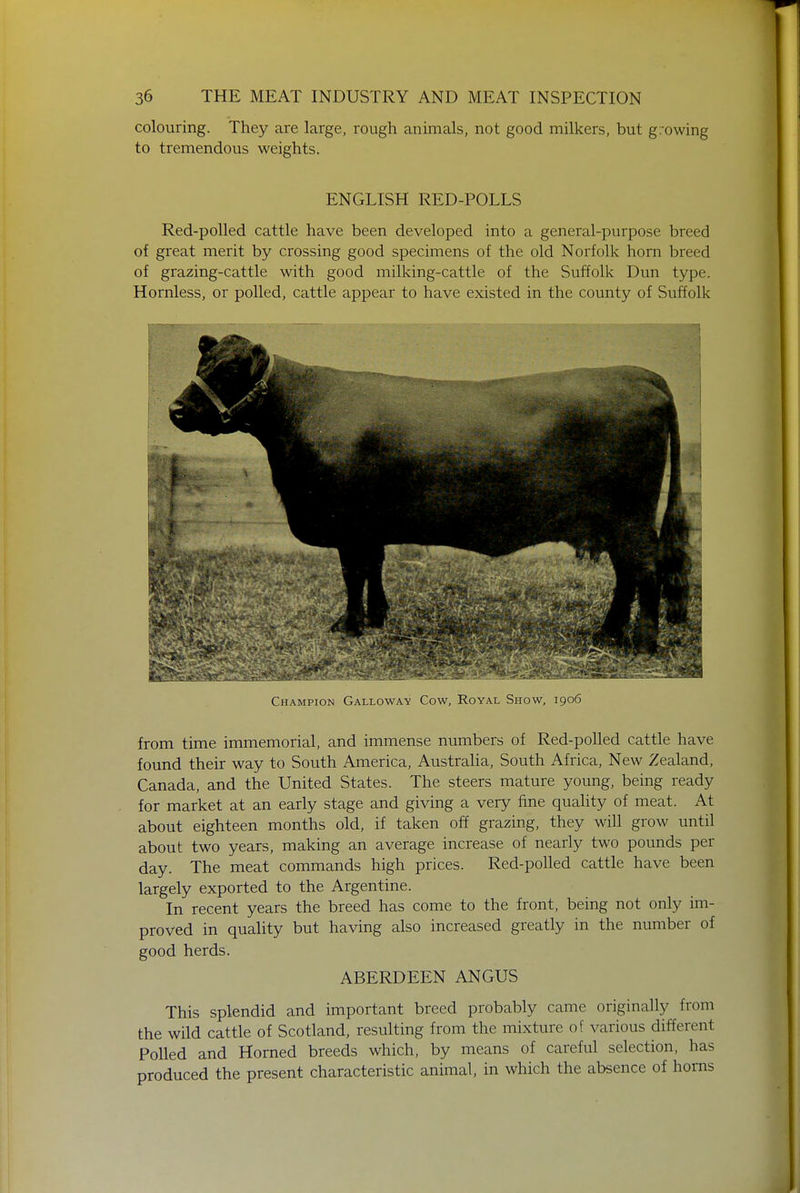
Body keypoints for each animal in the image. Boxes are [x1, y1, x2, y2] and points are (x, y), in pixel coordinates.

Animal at [168, 333, 691, 652]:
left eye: (229, 370)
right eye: (202, 362)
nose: (176, 409)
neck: (301, 411)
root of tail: (639, 373)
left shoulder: (348, 521)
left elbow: (352, 573)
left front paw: (350, 626)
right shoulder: (370, 524)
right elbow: (374, 568)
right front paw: (377, 618)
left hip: (629, 518)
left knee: (644, 573)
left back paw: (642, 644)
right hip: (615, 522)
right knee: (626, 576)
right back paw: (607, 633)